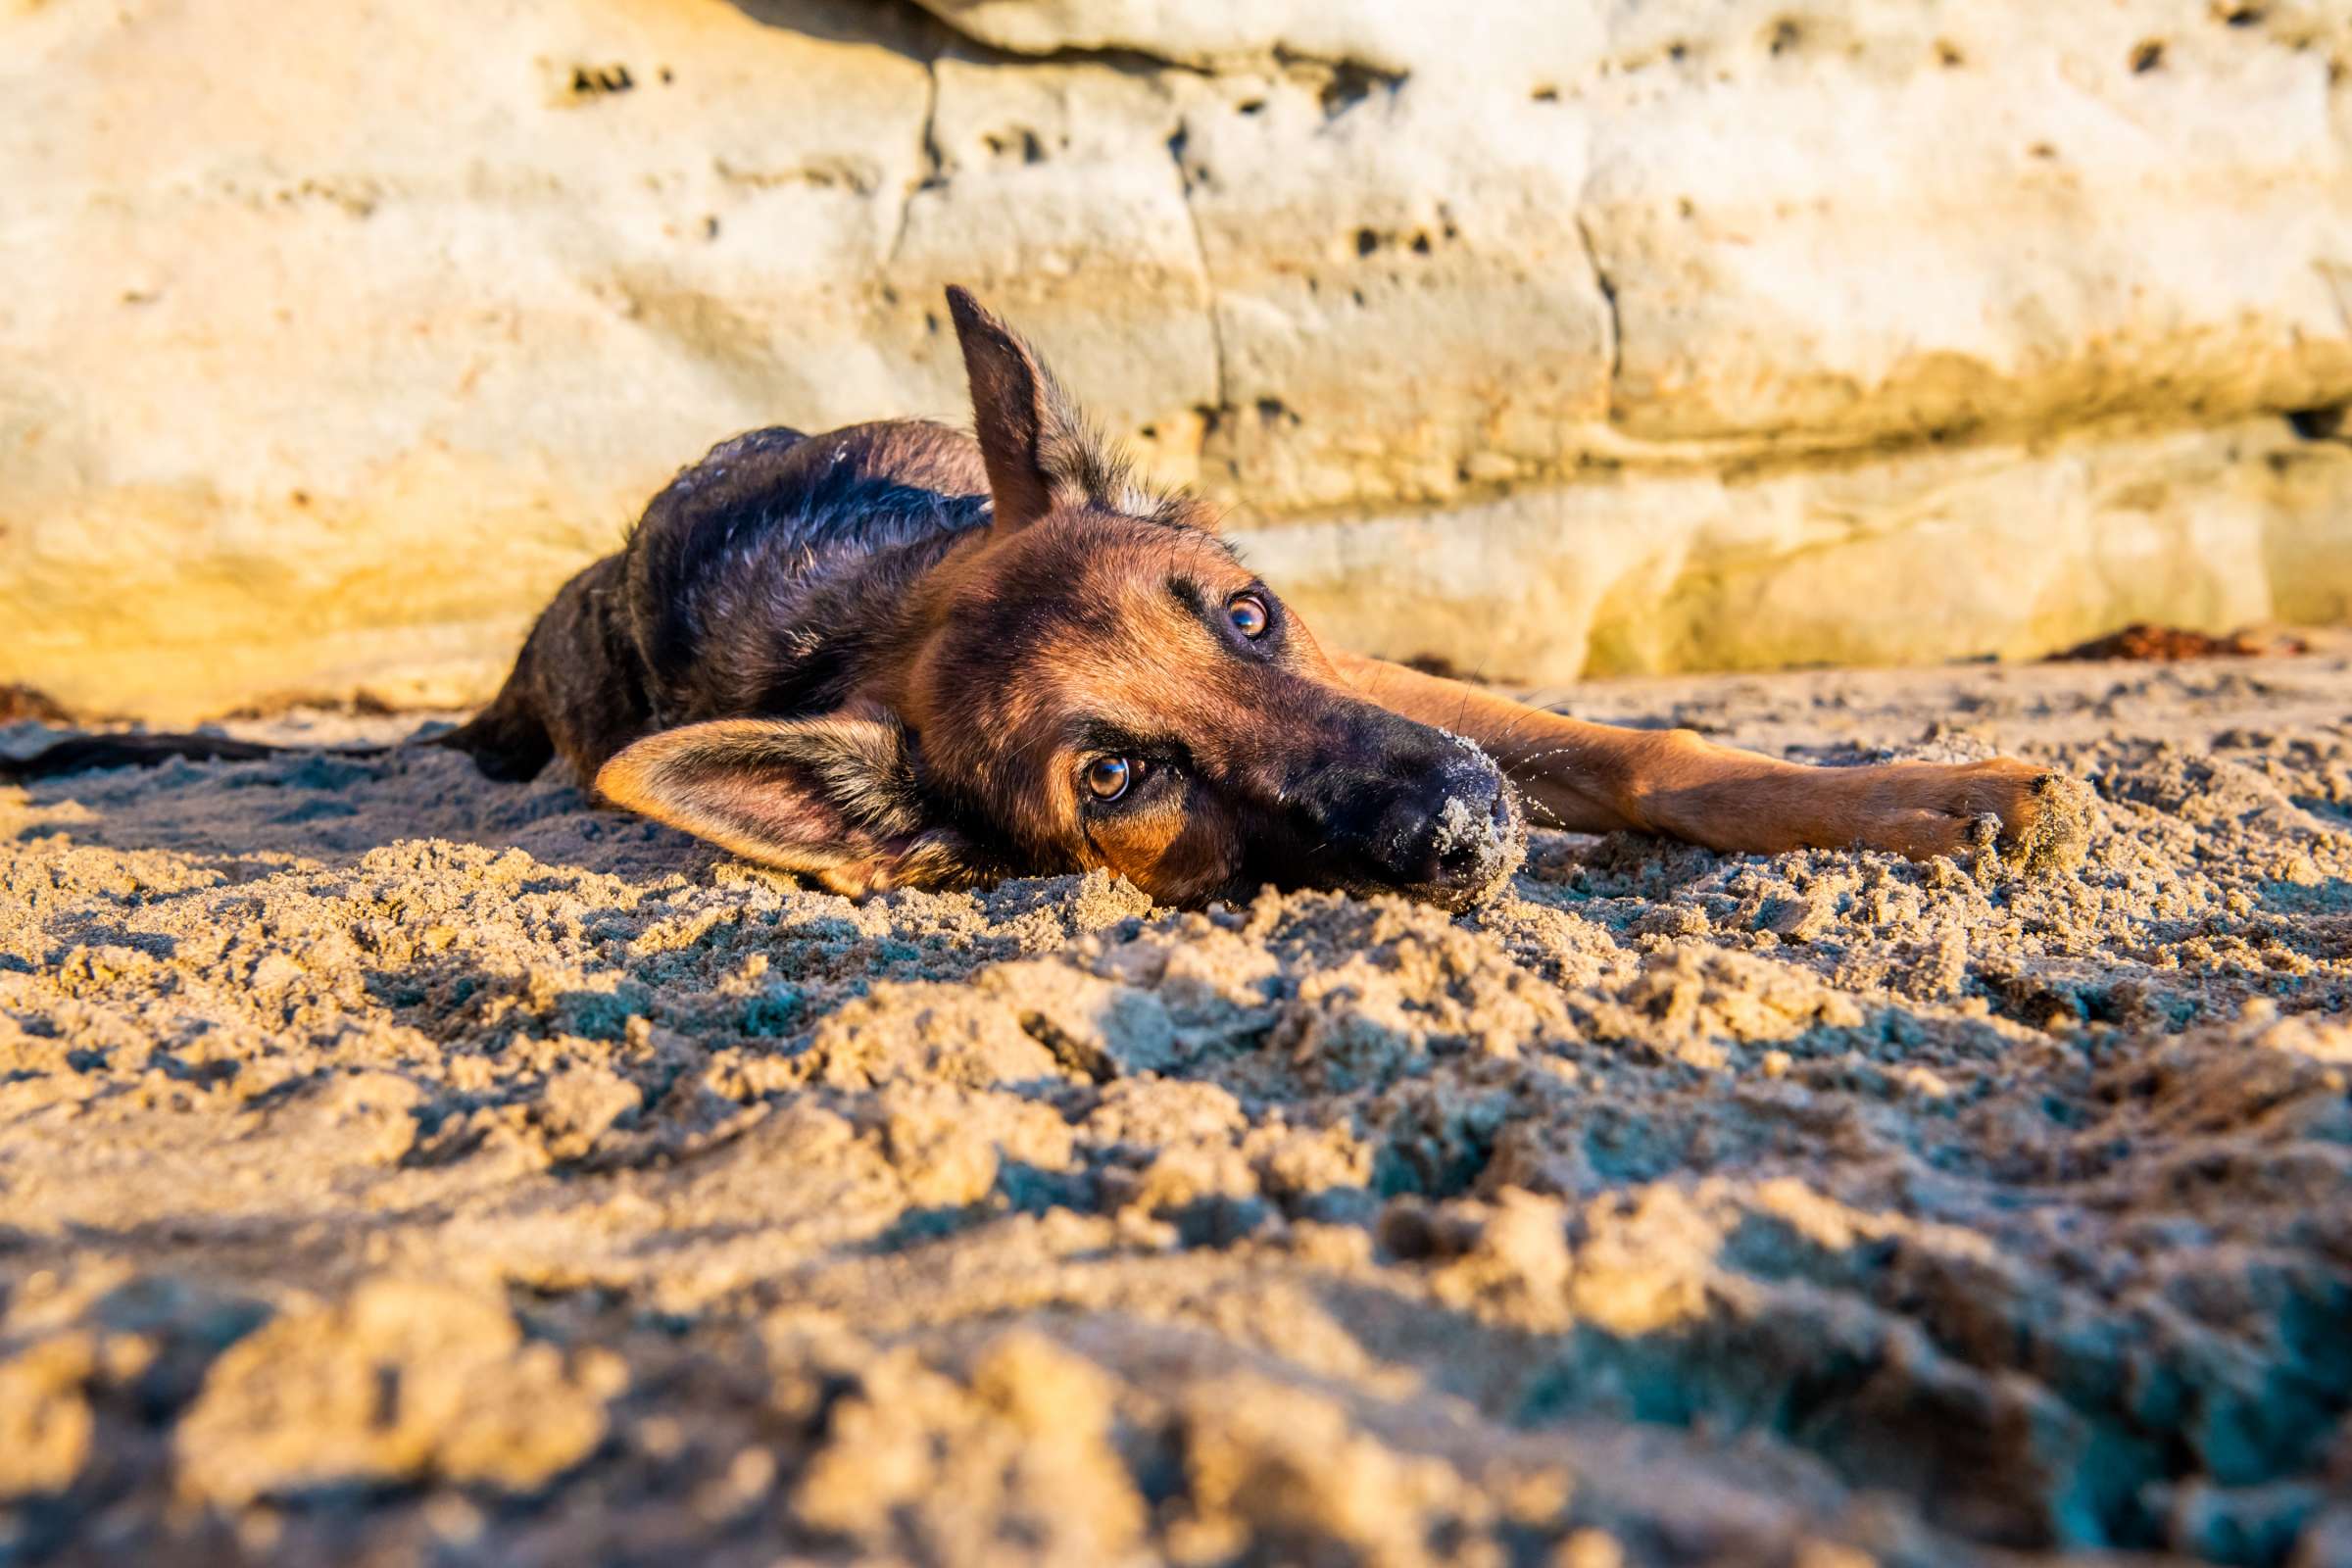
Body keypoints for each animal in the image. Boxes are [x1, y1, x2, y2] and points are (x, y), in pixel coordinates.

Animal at [4, 287, 2060, 911]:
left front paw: (1922, 795)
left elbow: (1644, 750)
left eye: (1244, 617)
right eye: (1117, 782)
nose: (1461, 834)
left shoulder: (1385, 678)